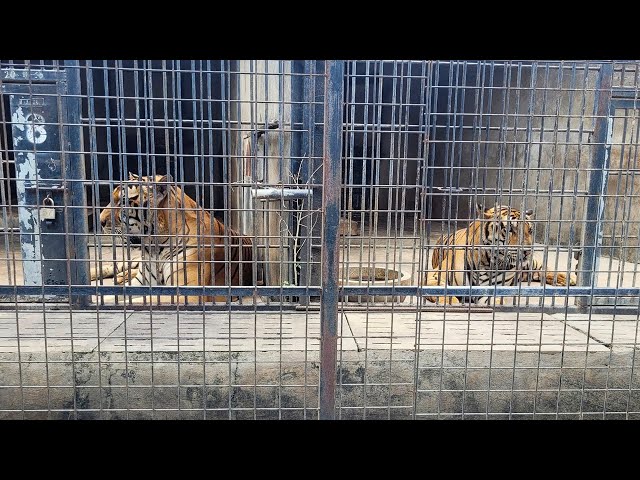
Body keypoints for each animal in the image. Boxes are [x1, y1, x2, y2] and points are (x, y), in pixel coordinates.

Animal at [90, 174, 255, 304]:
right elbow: (112, 296)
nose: (100, 221)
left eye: (123, 202)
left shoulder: (189, 293)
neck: (155, 247)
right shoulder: (141, 282)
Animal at [422, 204, 576, 306]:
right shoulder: (434, 276)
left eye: (530, 231)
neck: (487, 261)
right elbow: (445, 293)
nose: (527, 250)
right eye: (510, 230)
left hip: (532, 264)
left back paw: (569, 278)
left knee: (544, 268)